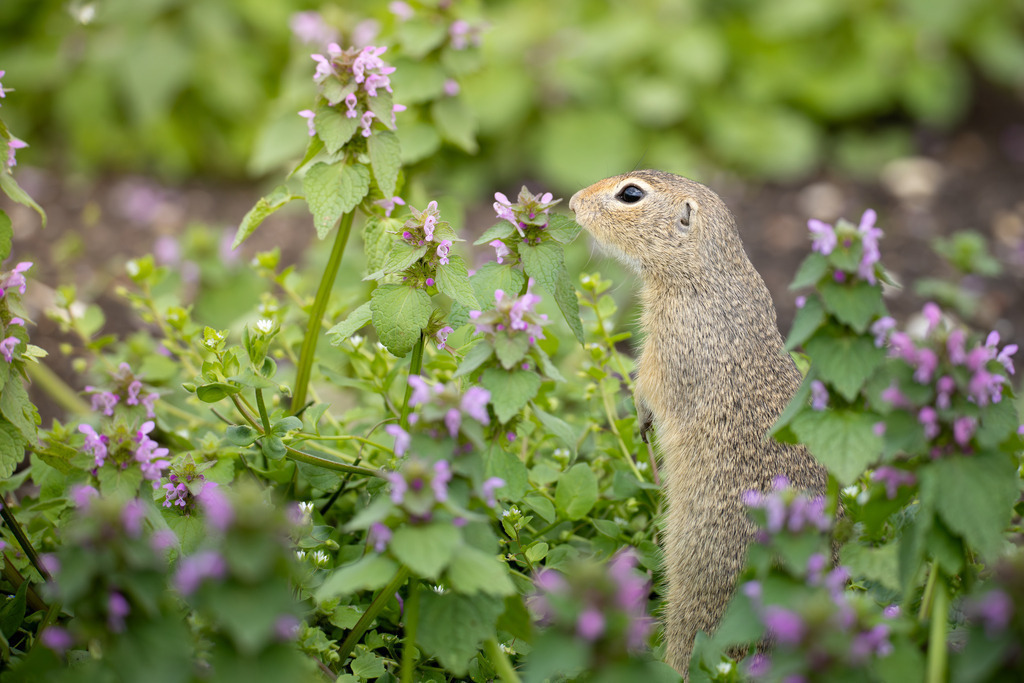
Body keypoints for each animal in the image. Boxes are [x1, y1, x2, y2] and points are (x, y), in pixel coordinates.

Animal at [569, 170, 827, 677]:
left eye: (631, 194)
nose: (571, 202)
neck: (704, 272)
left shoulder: (667, 350)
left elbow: (648, 385)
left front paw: (641, 418)